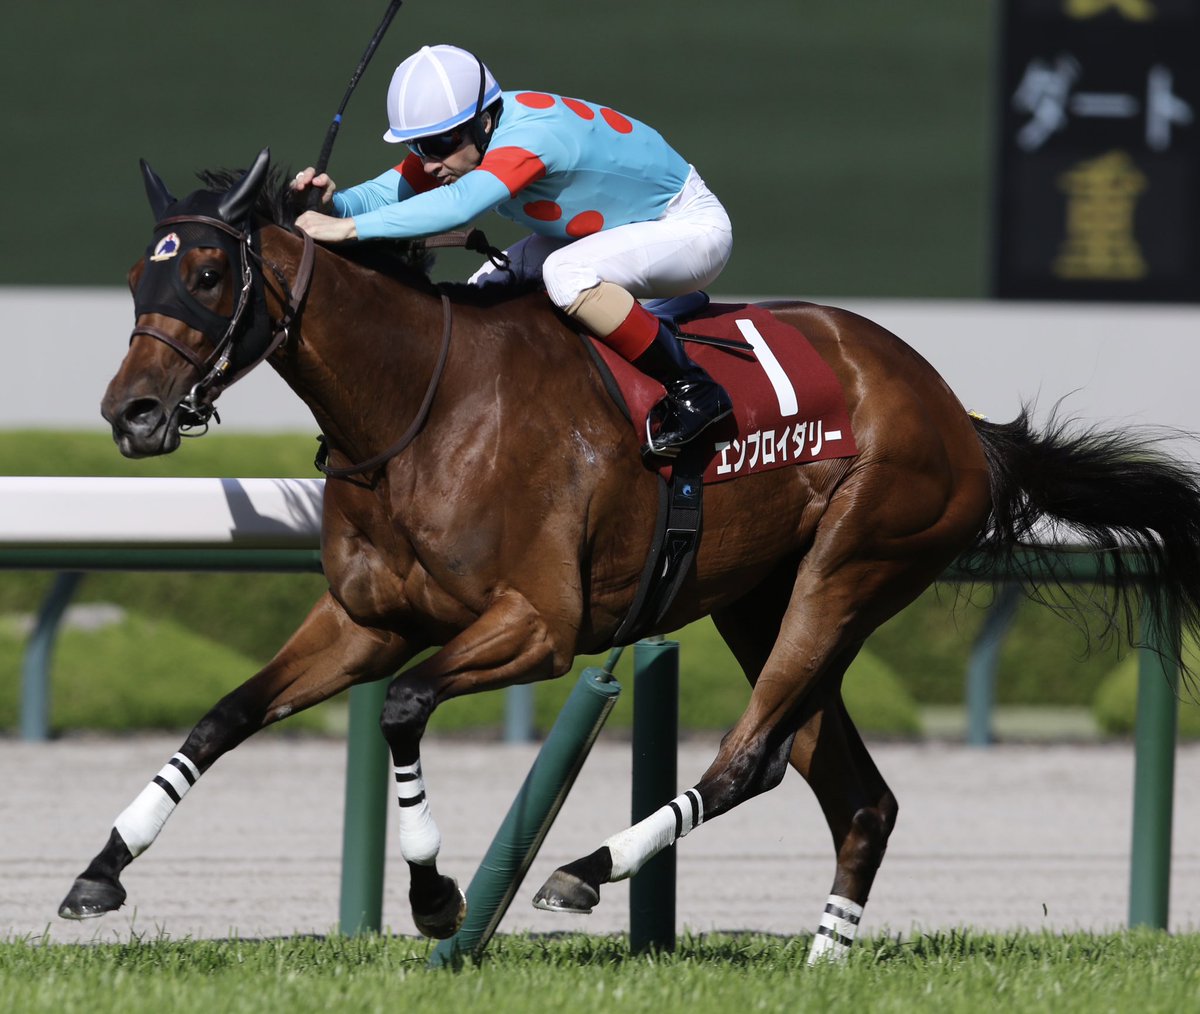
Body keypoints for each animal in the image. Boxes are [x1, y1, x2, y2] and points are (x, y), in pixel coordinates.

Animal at [67, 148, 1200, 961]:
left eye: (208, 273)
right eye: (132, 277)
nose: (132, 414)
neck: (420, 405)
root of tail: (959, 417)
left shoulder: (540, 627)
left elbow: (403, 707)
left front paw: (437, 898)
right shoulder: (362, 622)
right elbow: (223, 717)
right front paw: (101, 870)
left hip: (851, 568)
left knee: (751, 757)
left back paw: (584, 866)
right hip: (761, 602)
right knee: (857, 795)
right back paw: (821, 959)